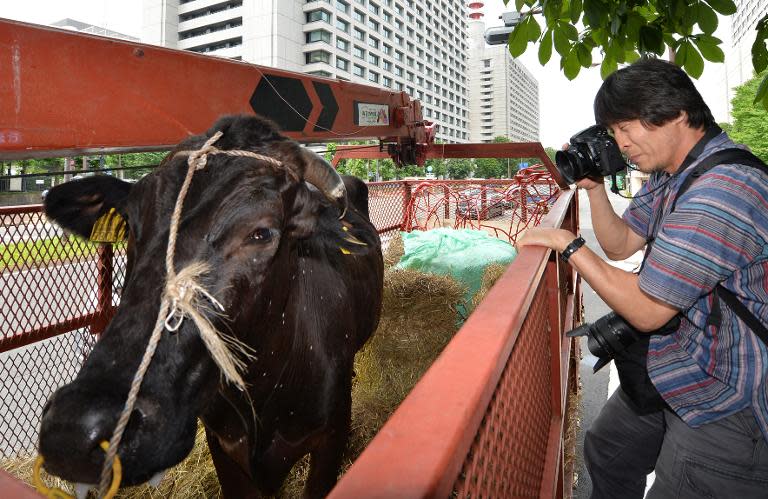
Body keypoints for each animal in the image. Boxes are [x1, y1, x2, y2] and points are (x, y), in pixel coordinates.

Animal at [38, 114, 384, 499]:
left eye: (262, 233)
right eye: (131, 226)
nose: (74, 426)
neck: (263, 391)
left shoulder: (331, 439)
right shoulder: (224, 446)